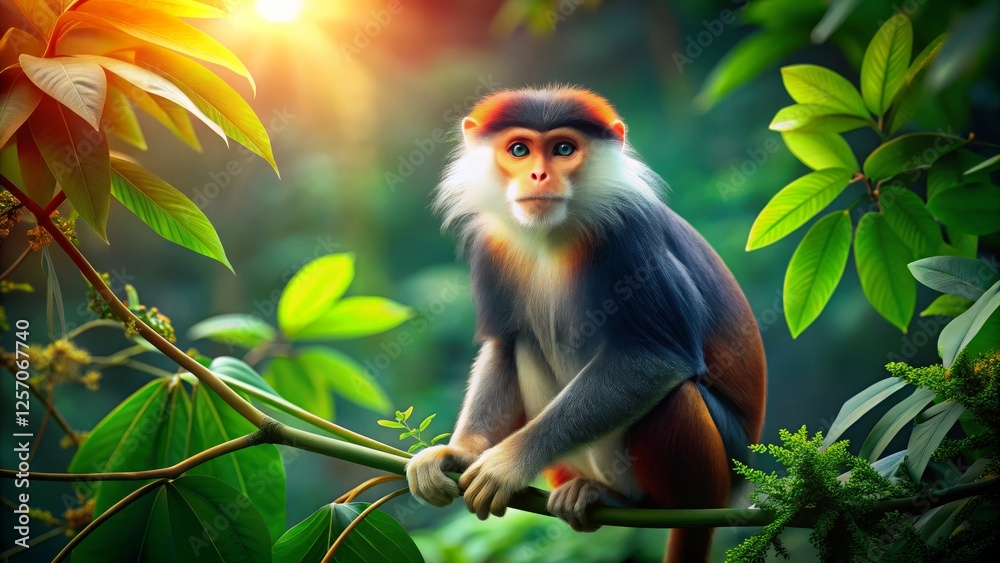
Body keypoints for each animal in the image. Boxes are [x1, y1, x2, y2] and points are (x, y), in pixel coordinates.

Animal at [405, 86, 766, 562]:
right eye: (519, 150)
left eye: (563, 149)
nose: (539, 174)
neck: (552, 234)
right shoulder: (493, 241)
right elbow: (503, 345)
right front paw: (459, 454)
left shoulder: (630, 234)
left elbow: (657, 358)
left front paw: (507, 464)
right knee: (526, 345)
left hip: (721, 471)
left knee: (674, 397)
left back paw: (630, 502)